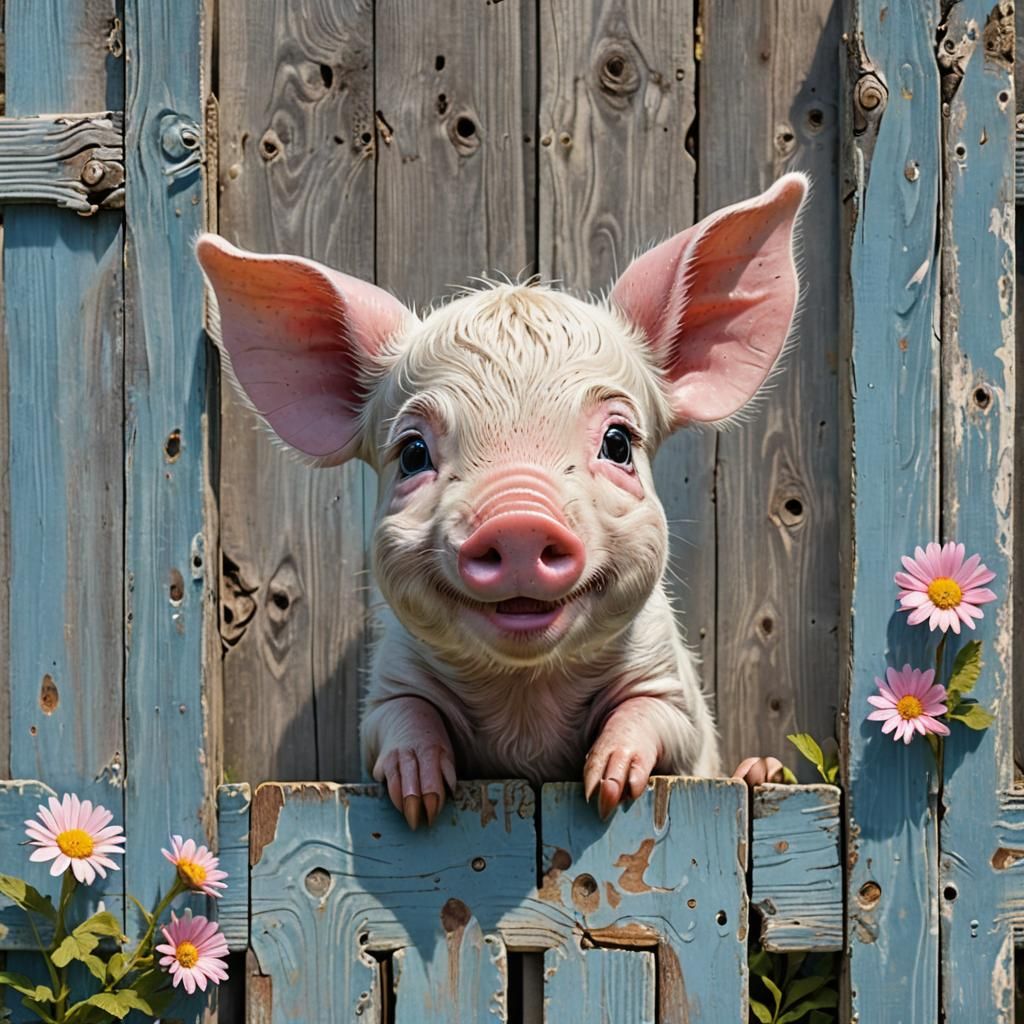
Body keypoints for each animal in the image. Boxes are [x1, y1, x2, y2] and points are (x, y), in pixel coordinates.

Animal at [196, 172, 807, 829]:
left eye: (618, 442)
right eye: (413, 453)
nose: (518, 520)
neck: (525, 705)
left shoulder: (673, 687)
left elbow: (654, 717)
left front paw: (609, 786)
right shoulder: (388, 684)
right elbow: (399, 720)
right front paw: (419, 799)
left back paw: (764, 772)